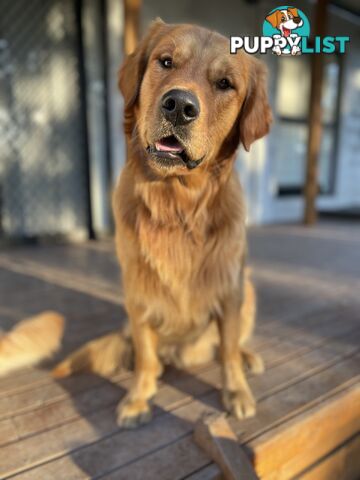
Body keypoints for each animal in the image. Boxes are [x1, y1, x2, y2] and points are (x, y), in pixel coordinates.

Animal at [54, 18, 272, 428]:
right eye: (166, 61)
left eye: (225, 84)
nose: (180, 106)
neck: (177, 204)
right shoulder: (138, 291)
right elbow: (144, 352)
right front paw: (139, 397)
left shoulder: (230, 287)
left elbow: (229, 349)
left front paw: (236, 390)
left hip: (248, 288)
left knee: (231, 345)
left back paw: (248, 357)